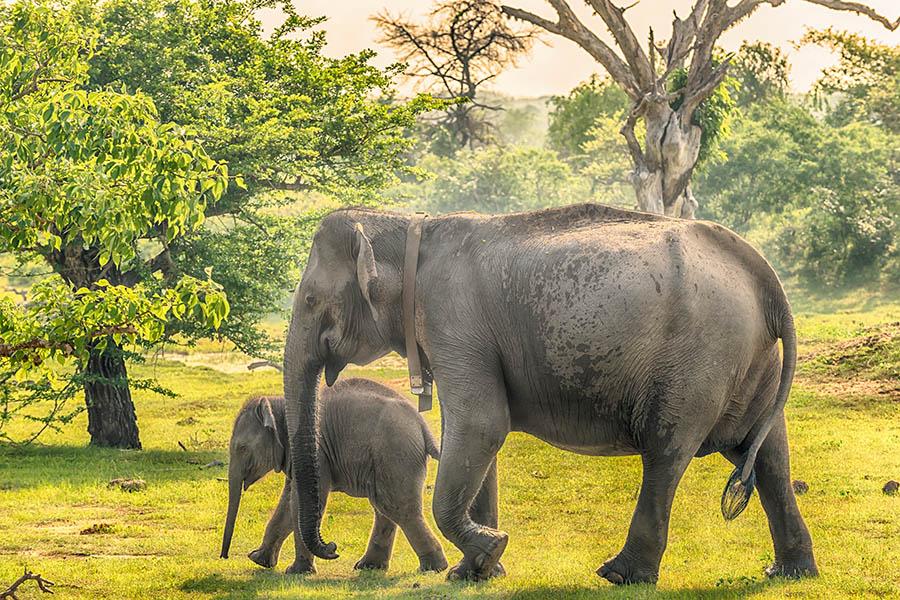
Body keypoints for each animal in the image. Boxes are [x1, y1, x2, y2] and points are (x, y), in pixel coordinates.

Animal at [220, 379, 448, 574]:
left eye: (241, 448)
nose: (224, 556)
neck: (280, 405)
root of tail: (422, 425)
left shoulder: (317, 454)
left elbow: (301, 502)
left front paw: (296, 571)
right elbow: (288, 502)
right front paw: (259, 560)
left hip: (395, 453)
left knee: (398, 508)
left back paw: (434, 568)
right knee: (384, 506)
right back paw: (370, 566)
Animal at [283, 203, 818, 584]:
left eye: (309, 298)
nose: (331, 548)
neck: (409, 224)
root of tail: (767, 281)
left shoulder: (453, 321)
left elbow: (481, 425)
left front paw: (490, 550)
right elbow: (473, 435)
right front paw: (476, 572)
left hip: (699, 359)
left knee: (667, 453)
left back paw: (620, 574)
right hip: (751, 362)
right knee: (767, 455)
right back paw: (789, 572)